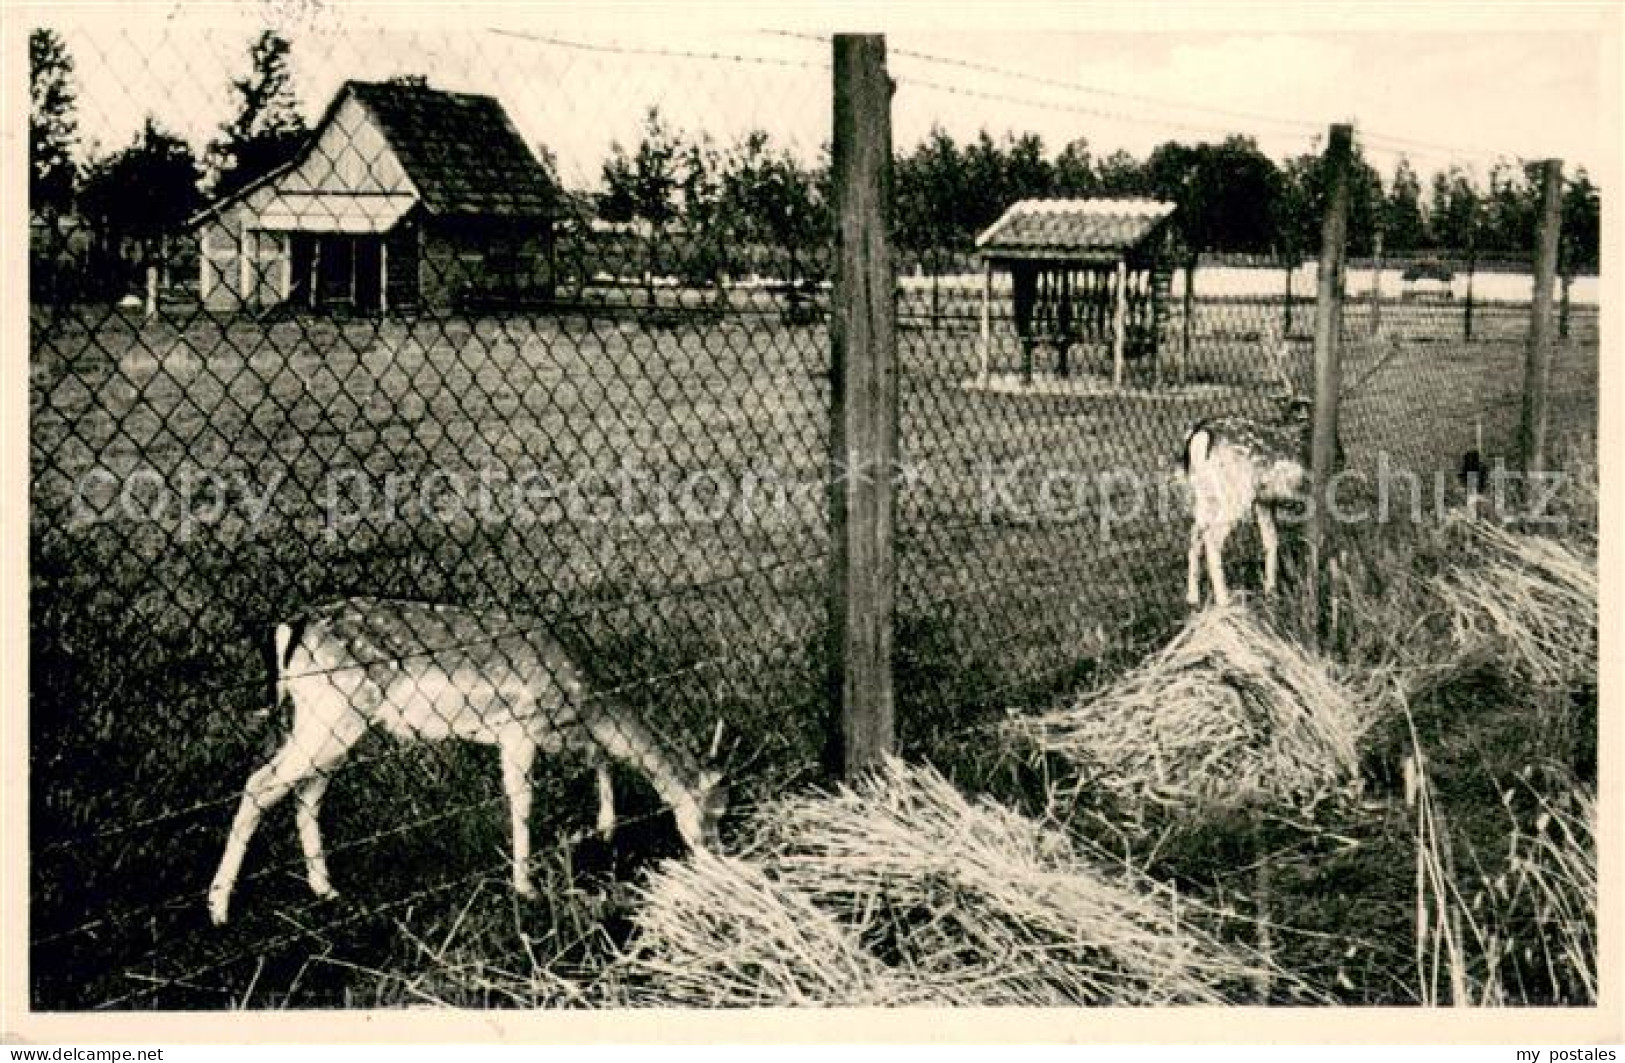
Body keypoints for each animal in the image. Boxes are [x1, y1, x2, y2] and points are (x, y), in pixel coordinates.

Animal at [208, 604, 724, 929]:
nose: (718, 857)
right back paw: (218, 909)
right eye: (715, 811)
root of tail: (292, 630)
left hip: (329, 723)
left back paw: (325, 890)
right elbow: (523, 800)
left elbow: (600, 759)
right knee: (260, 782)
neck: (582, 701)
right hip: (333, 714)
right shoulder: (520, 728)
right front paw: (526, 888)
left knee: (306, 792)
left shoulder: (558, 736)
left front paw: (605, 828)